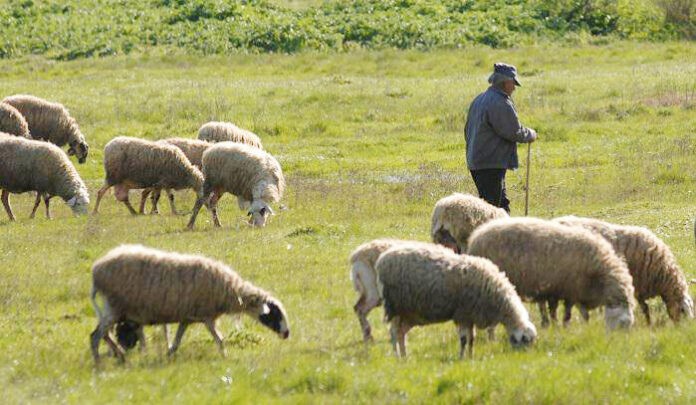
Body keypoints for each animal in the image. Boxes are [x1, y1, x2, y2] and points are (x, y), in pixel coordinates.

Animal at [90, 241, 290, 362]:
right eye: (274, 314)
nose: (287, 334)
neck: (230, 291)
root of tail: (96, 270)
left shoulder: (187, 317)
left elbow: (177, 340)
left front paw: (169, 354)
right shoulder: (207, 316)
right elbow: (220, 339)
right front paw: (225, 357)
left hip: (115, 310)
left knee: (103, 334)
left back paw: (118, 355)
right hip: (114, 307)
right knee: (96, 336)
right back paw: (100, 362)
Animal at [376, 240, 540, 356]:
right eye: (525, 341)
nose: (523, 356)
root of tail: (382, 260)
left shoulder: (471, 315)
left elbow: (472, 339)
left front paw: (471, 356)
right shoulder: (462, 314)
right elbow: (463, 339)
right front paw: (461, 357)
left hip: (410, 313)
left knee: (401, 333)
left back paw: (405, 356)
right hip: (395, 307)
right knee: (393, 332)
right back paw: (398, 357)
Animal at [468, 216, 636, 330]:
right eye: (623, 323)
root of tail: (476, 237)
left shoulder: (573, 290)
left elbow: (579, 313)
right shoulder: (567, 289)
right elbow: (564, 313)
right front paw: (561, 326)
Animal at [552, 215, 692, 326]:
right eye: (683, 310)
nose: (685, 329)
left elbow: (644, 307)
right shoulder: (637, 284)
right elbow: (645, 308)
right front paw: (648, 324)